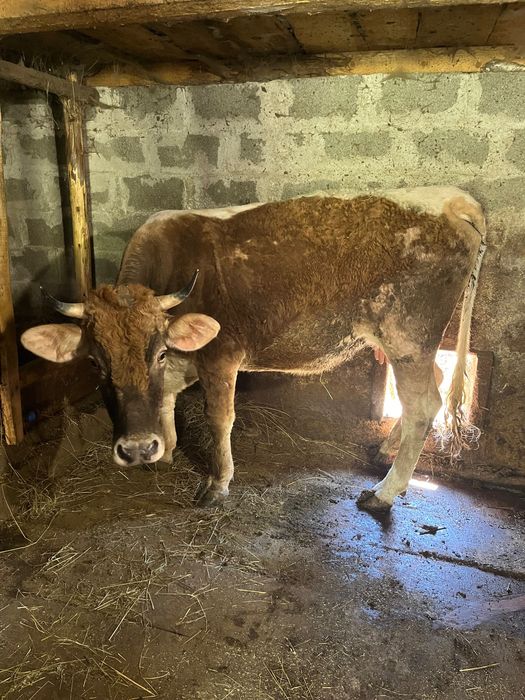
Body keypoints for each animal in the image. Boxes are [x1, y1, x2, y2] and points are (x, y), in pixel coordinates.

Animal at [21, 186, 486, 512]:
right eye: (97, 363)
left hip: (409, 336)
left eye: (157, 353)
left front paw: (217, 483)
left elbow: (219, 418)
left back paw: (384, 492)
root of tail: (450, 198)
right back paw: (386, 449)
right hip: (406, 343)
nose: (135, 449)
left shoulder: (220, 355)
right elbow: (166, 397)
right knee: (430, 385)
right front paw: (165, 449)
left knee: (424, 404)